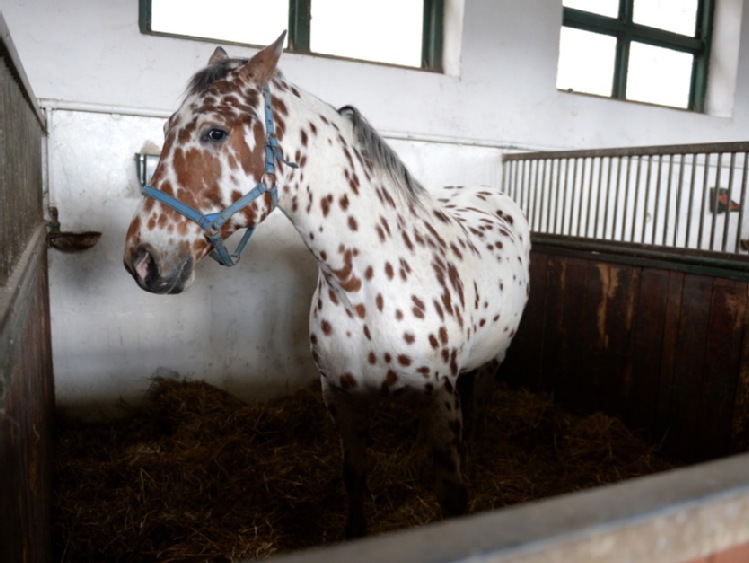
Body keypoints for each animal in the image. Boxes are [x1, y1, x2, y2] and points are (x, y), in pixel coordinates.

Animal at [122, 33, 528, 540]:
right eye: (166, 128)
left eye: (214, 132)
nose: (141, 259)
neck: (366, 286)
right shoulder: (339, 394)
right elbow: (354, 474)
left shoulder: (440, 396)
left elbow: (452, 491)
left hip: (494, 359)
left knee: (480, 413)